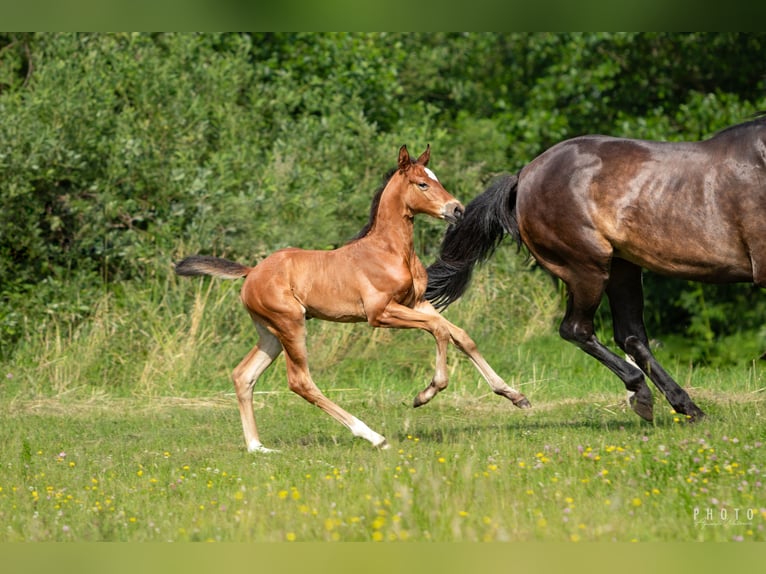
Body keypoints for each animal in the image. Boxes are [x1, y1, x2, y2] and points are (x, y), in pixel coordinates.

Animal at [177, 145, 532, 454]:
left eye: (437, 179)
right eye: (422, 183)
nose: (457, 209)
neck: (390, 251)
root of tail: (251, 272)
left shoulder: (417, 303)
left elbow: (461, 336)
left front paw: (515, 396)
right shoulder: (381, 314)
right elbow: (440, 330)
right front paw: (425, 394)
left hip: (270, 333)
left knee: (244, 375)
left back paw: (257, 447)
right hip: (290, 325)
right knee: (300, 381)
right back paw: (373, 436)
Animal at [426, 117, 766, 424]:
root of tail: (525, 174)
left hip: (623, 267)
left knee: (630, 335)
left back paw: (684, 407)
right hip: (588, 267)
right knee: (578, 329)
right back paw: (643, 394)